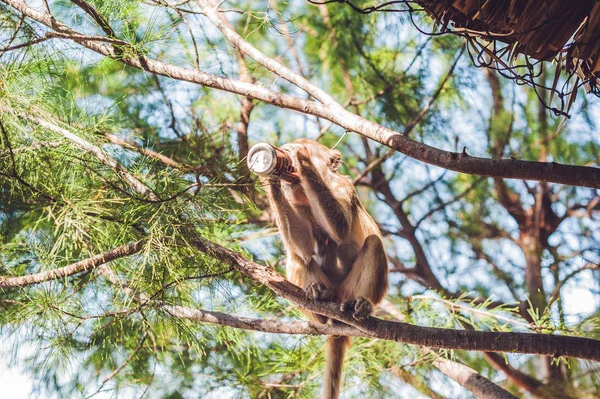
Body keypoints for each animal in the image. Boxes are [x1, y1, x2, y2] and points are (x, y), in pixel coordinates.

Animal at [264, 139, 390, 398]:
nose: (287, 149)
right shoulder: (296, 202)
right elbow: (302, 248)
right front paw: (272, 179)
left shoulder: (344, 188)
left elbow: (340, 228)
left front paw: (301, 160)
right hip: (330, 289)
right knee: (297, 256)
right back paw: (319, 300)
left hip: (349, 289)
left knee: (373, 242)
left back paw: (361, 306)